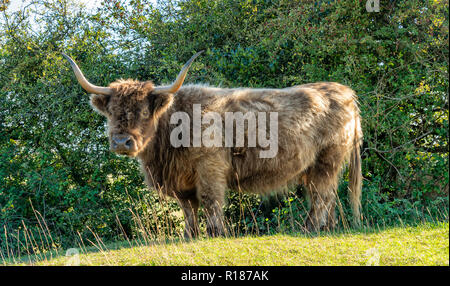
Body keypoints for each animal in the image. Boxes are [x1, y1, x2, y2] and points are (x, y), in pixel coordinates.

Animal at [63, 52, 364, 239]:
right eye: (111, 112)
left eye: (144, 111)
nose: (122, 142)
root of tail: (345, 92)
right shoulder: (181, 181)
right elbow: (187, 208)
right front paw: (189, 235)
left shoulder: (210, 167)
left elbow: (210, 201)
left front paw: (216, 233)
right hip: (318, 168)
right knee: (327, 195)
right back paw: (327, 229)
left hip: (327, 161)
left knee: (321, 196)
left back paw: (308, 229)